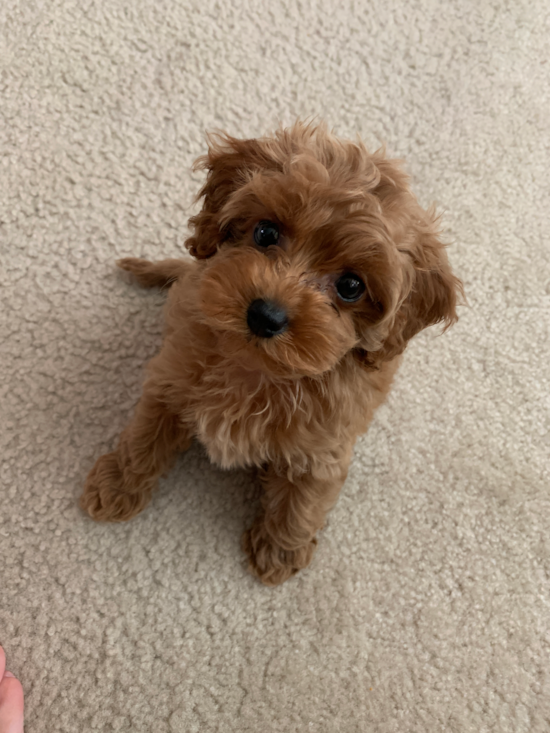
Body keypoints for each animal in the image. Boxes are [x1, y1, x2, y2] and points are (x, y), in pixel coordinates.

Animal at [80, 123, 464, 588]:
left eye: (351, 286)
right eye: (265, 233)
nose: (266, 315)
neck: (257, 369)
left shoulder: (326, 446)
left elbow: (306, 498)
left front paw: (280, 550)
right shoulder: (169, 382)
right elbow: (144, 438)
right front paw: (118, 485)